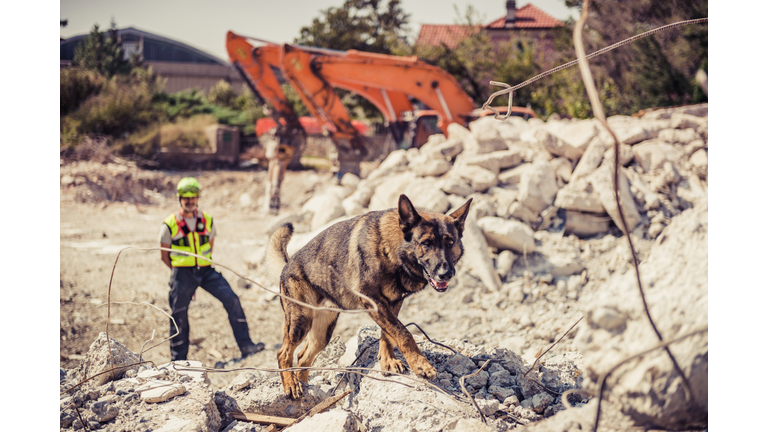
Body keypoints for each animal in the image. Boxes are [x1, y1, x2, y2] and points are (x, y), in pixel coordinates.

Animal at [268, 194, 472, 396]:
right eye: (426, 243)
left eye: (450, 243)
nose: (446, 273)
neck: (392, 250)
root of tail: (287, 265)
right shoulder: (374, 302)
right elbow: (404, 334)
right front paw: (421, 365)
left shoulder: (392, 303)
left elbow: (388, 334)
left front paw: (388, 361)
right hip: (300, 322)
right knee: (283, 353)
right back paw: (291, 384)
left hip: (323, 333)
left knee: (303, 357)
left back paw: (305, 386)